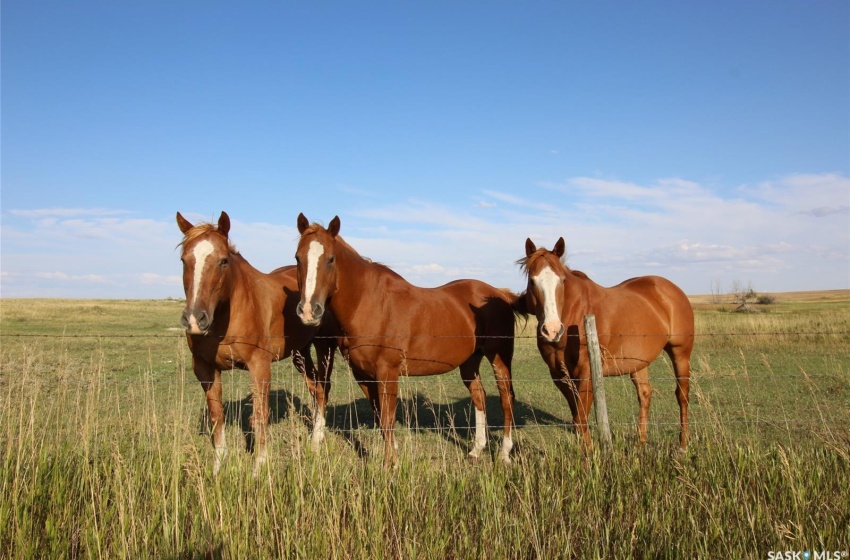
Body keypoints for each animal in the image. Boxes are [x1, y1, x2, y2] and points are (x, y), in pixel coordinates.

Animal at [176, 212, 334, 474]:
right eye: (184, 260)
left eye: (223, 261)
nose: (195, 319)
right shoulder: (205, 369)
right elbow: (217, 416)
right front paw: (218, 466)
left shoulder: (259, 366)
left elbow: (260, 416)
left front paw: (259, 468)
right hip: (300, 352)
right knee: (314, 387)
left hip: (325, 347)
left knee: (323, 389)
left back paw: (317, 440)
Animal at [294, 212, 516, 466]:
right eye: (298, 258)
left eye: (330, 259)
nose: (309, 311)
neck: (368, 303)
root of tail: (499, 294)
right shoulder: (363, 375)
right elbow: (381, 418)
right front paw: (393, 455)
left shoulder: (388, 373)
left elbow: (387, 419)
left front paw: (390, 464)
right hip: (470, 362)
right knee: (479, 396)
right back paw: (476, 450)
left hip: (499, 359)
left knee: (506, 399)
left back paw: (504, 454)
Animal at [512, 237, 692, 450]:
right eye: (532, 281)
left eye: (562, 281)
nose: (552, 329)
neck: (574, 314)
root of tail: (673, 290)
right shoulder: (559, 375)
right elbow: (576, 416)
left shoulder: (586, 372)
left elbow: (581, 417)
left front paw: (589, 453)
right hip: (638, 363)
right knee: (645, 394)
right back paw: (640, 443)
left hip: (680, 354)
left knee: (682, 396)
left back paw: (682, 445)